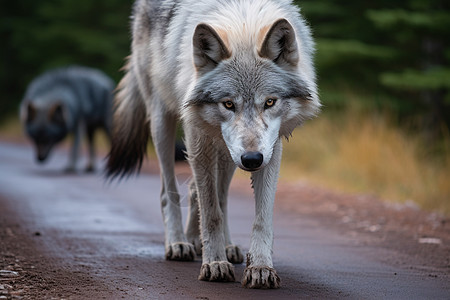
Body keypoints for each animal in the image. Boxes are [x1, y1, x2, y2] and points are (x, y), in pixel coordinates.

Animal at [107, 0, 322, 288]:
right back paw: (179, 243)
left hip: (227, 151)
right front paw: (214, 264)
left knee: (209, 194)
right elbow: (211, 212)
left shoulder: (270, 149)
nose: (251, 160)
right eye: (228, 104)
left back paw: (216, 244)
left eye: (269, 102)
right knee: (169, 191)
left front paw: (260, 267)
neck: (243, 26)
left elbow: (258, 216)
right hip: (164, 122)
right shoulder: (198, 138)